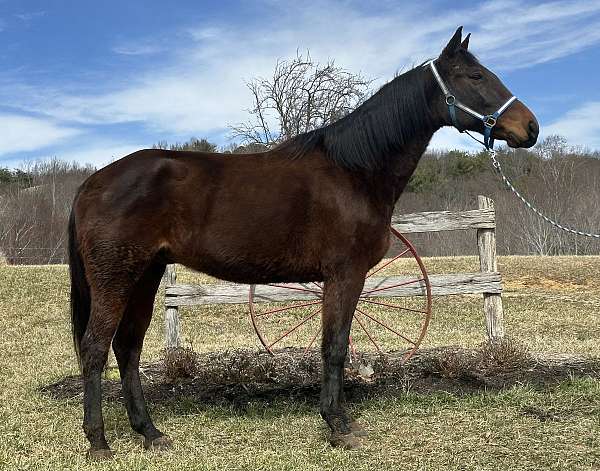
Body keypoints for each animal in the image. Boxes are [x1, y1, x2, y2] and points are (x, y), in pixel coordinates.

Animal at [69, 27, 540, 460]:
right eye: (476, 76)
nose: (530, 127)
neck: (354, 170)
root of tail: (94, 181)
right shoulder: (344, 275)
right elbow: (334, 347)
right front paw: (338, 426)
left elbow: (338, 345)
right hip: (116, 278)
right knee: (95, 348)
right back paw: (98, 442)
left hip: (145, 276)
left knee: (127, 347)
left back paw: (149, 432)